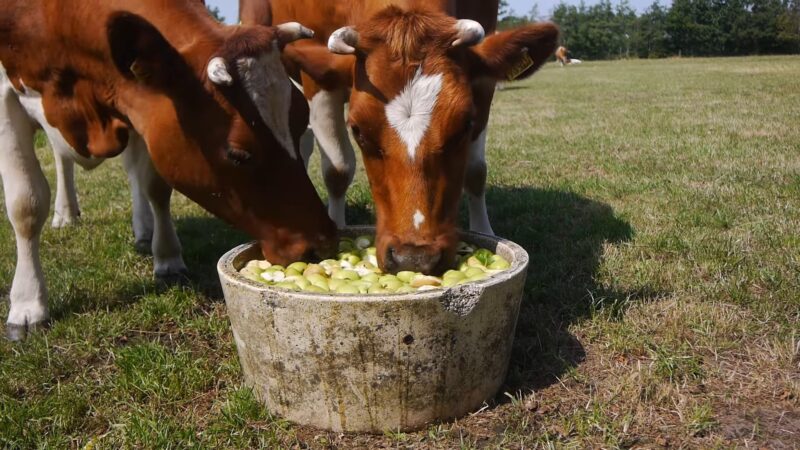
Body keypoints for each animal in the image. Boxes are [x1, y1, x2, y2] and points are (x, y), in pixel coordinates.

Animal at [0, 0, 338, 338]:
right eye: (239, 154)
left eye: (301, 121)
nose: (321, 244)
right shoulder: (6, 96)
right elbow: (26, 204)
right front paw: (28, 305)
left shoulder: (146, 108)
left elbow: (156, 188)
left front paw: (167, 258)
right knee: (62, 159)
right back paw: (66, 213)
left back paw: (143, 229)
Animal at [241, 0, 560, 274]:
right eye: (358, 131)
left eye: (465, 125)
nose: (414, 258)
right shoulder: (317, 79)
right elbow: (338, 170)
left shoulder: (484, 81)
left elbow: (475, 171)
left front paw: (483, 231)